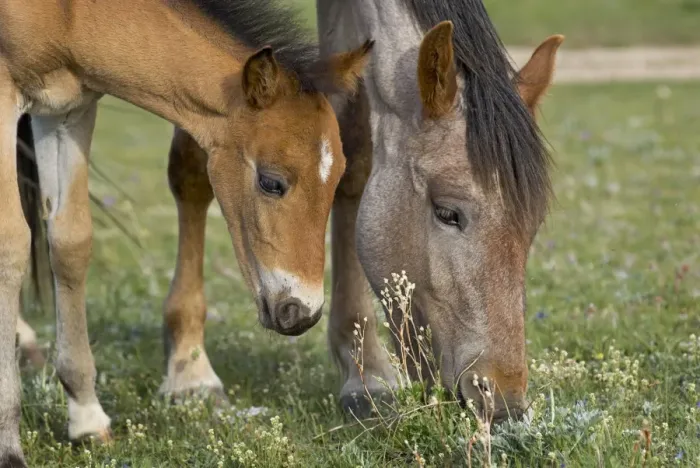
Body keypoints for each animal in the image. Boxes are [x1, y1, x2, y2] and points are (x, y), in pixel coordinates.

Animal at [0, 0, 372, 464]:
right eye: (271, 182)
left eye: (338, 177)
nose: (301, 312)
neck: (68, 14)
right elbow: (10, 244)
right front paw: (8, 445)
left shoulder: (67, 108)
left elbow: (70, 243)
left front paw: (87, 418)